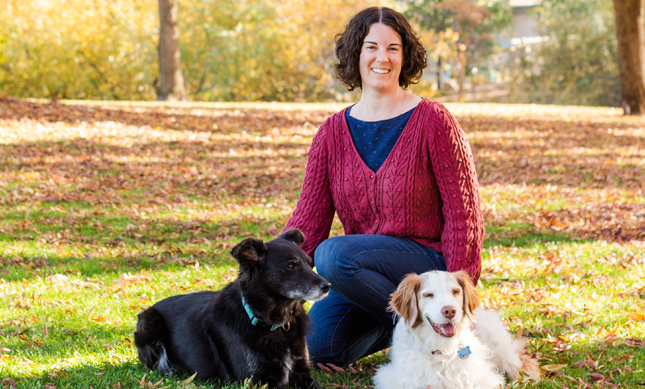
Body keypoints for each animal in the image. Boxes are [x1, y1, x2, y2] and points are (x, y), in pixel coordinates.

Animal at [133, 229, 330, 386]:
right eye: (290, 266)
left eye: (309, 263)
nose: (327, 286)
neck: (272, 321)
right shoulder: (258, 381)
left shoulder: (302, 373)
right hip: (150, 321)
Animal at [370, 270, 540, 388]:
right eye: (428, 295)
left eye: (455, 291)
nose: (450, 311)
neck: (441, 348)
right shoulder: (395, 378)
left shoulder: (484, 378)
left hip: (503, 350)